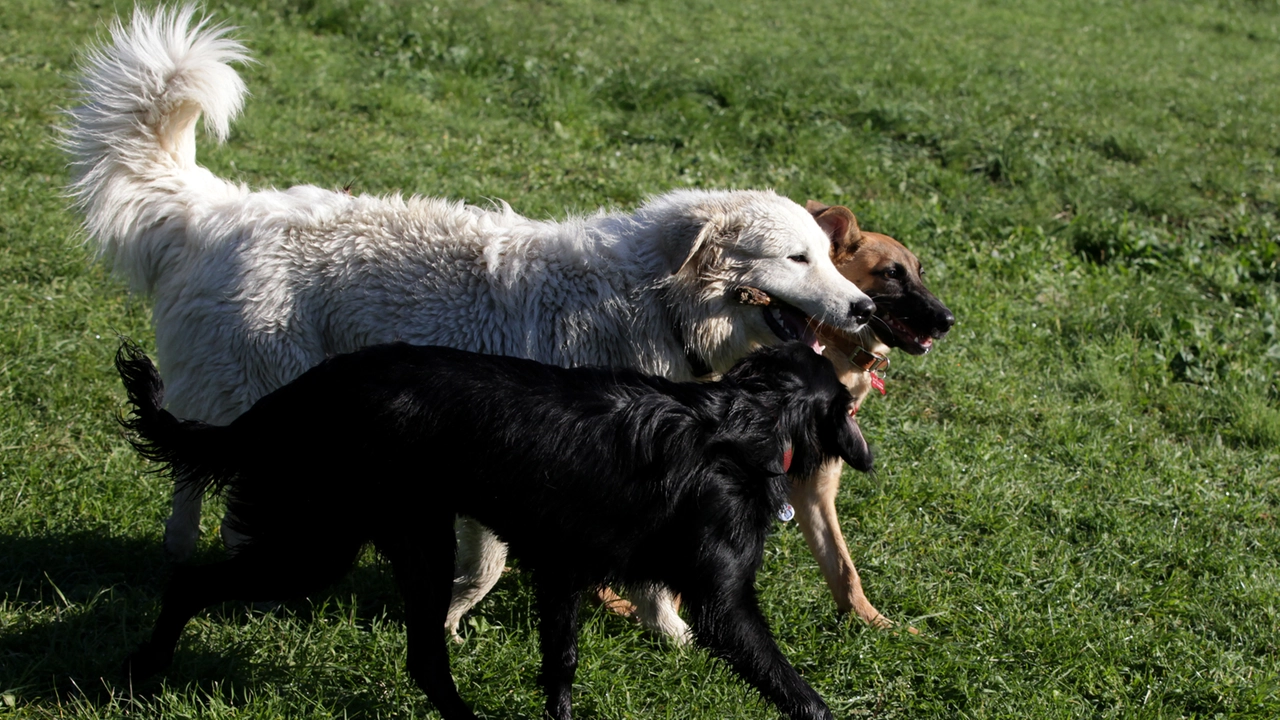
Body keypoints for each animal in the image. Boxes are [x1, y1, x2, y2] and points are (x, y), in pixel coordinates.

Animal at [64, 7, 875, 638]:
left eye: (827, 256)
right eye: (798, 258)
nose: (866, 309)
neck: (651, 302)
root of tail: (215, 207)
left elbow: (634, 574)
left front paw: (666, 631)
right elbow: (488, 568)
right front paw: (452, 620)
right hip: (262, 392)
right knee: (202, 474)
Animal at [117, 338, 870, 712]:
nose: (865, 451)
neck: (746, 417)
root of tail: (300, 392)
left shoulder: (564, 569)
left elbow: (560, 669)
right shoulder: (723, 603)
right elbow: (799, 693)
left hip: (397, 539)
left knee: (424, 658)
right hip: (321, 545)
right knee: (189, 583)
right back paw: (145, 669)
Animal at [793, 198, 957, 625]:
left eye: (919, 273)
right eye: (891, 274)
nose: (948, 320)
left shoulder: (815, 487)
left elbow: (843, 567)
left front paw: (870, 623)